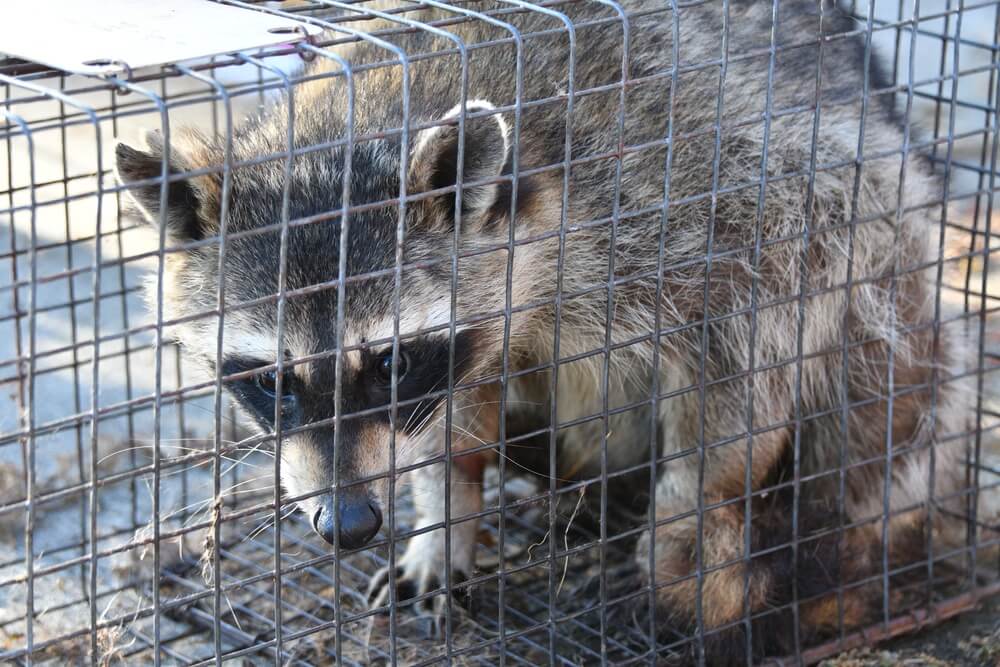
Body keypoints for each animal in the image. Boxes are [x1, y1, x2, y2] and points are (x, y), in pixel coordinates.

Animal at [115, 0, 971, 662]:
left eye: (388, 363)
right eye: (270, 378)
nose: (349, 524)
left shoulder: (723, 197)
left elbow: (745, 373)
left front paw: (691, 525)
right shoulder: (473, 336)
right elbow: (450, 426)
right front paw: (446, 514)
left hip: (886, 234)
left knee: (879, 380)